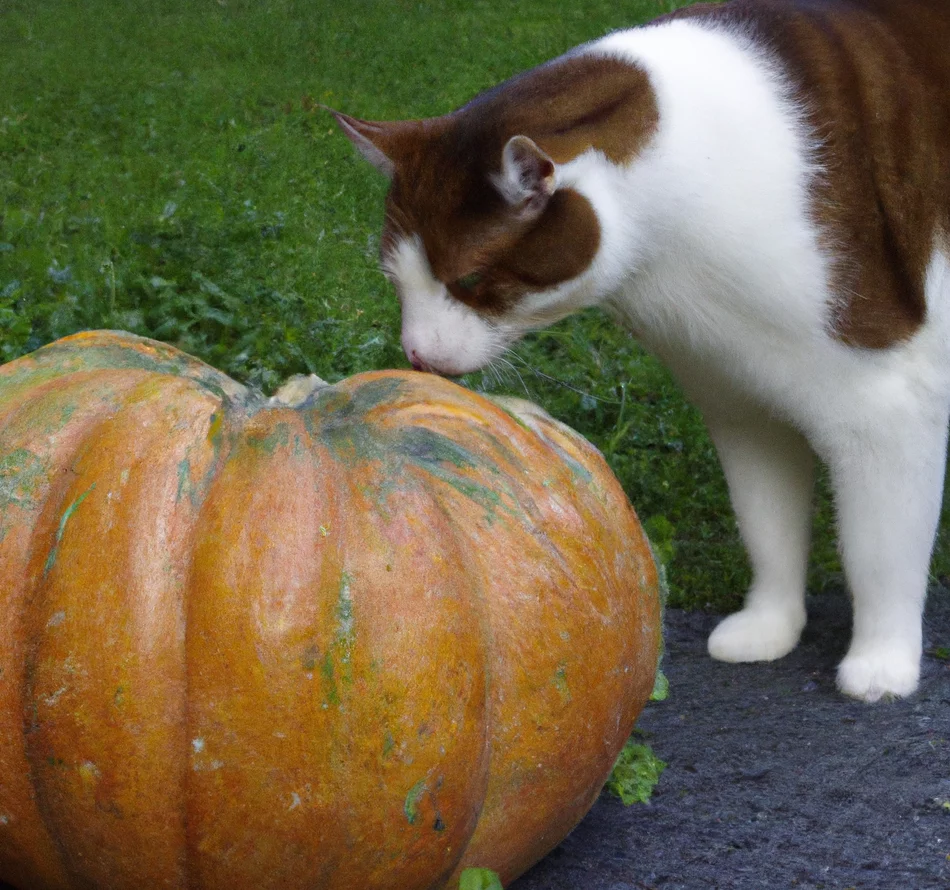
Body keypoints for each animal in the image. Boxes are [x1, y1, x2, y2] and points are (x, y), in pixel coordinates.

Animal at [330, 0, 948, 700]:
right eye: (394, 280)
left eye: (468, 280)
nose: (416, 355)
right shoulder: (742, 401)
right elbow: (767, 524)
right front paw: (770, 626)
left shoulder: (887, 405)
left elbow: (880, 551)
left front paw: (882, 663)